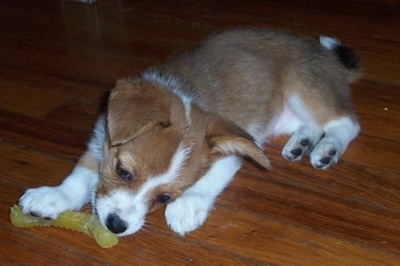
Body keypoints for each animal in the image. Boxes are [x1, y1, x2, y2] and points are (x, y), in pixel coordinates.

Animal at [19, 28, 362, 237]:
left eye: (165, 197)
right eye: (123, 172)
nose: (116, 226)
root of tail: (328, 57)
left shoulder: (233, 148)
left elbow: (208, 180)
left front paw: (187, 205)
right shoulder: (100, 141)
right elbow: (78, 178)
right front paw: (52, 196)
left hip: (305, 90)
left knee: (345, 123)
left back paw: (327, 149)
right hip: (287, 113)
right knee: (312, 125)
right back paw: (301, 144)